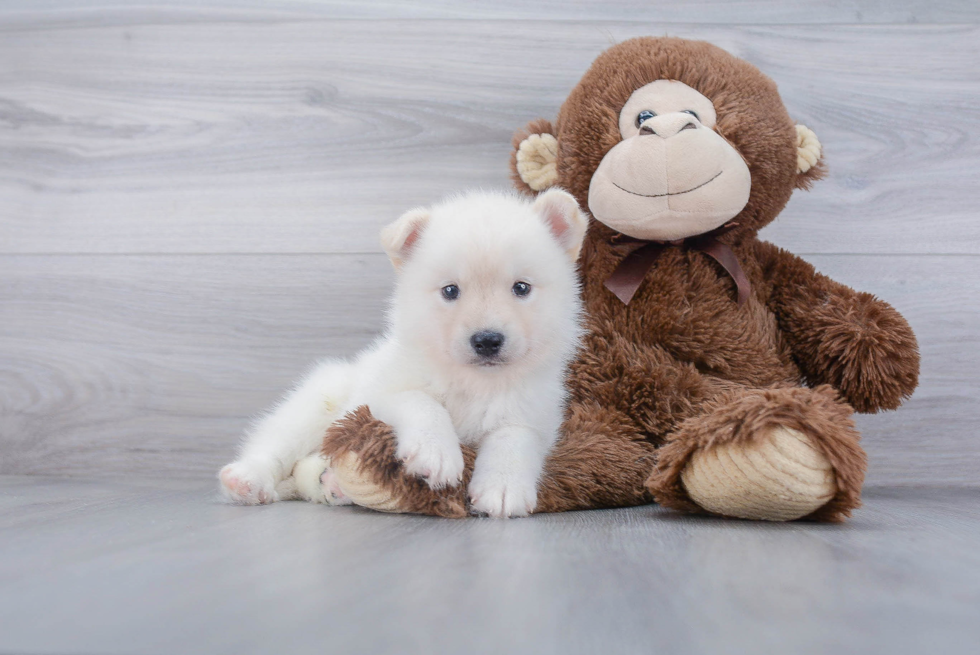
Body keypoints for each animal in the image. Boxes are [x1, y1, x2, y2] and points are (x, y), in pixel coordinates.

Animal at [218, 188, 584, 516]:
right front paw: (436, 453)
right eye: (450, 291)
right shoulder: (375, 397)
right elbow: (420, 401)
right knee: (275, 447)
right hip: (317, 402)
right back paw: (248, 480)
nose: (487, 340)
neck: (473, 383)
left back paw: (332, 485)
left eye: (521, 288)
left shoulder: (535, 414)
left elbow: (515, 438)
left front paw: (503, 486)